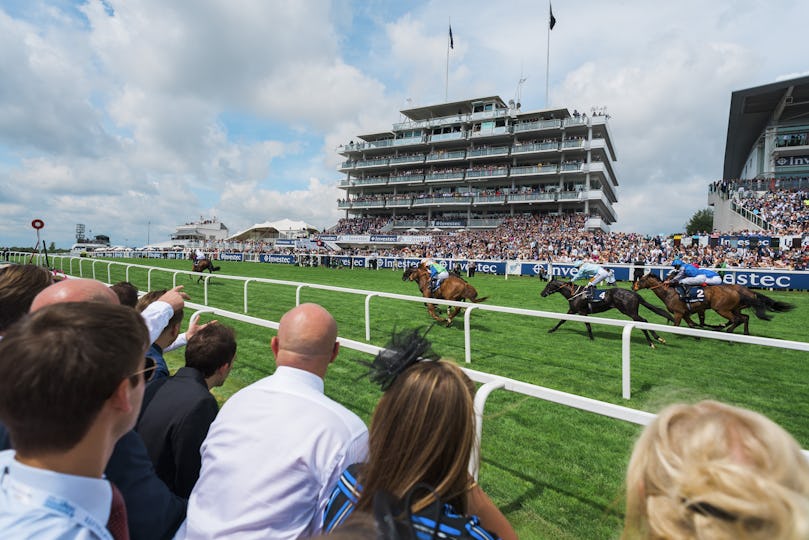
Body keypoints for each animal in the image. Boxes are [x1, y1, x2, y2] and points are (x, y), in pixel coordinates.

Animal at [536, 276, 676, 348]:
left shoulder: (582, 312)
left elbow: (587, 325)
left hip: (629, 312)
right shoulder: (572, 310)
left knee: (643, 322)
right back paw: (657, 339)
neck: (575, 293)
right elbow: (562, 320)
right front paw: (552, 330)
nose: (541, 293)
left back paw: (653, 342)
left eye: (548, 285)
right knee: (644, 321)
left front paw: (592, 338)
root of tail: (634, 294)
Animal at [628, 274, 792, 334]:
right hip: (734, 309)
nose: (633, 287)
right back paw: (743, 333)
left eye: (641, 279)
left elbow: (676, 325)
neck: (670, 292)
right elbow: (692, 324)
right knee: (744, 318)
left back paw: (727, 331)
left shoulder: (678, 313)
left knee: (736, 319)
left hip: (721, 309)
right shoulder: (686, 313)